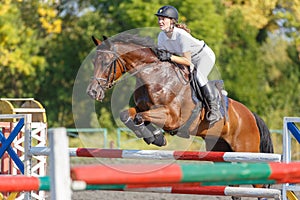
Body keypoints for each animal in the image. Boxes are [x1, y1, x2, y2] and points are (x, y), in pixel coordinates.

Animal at [85, 32, 274, 198]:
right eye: (94, 61)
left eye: (107, 62)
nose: (92, 92)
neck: (154, 75)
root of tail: (251, 115)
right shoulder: (142, 108)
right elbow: (127, 115)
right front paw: (154, 136)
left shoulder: (172, 118)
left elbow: (140, 117)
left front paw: (155, 136)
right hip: (219, 150)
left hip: (247, 151)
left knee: (260, 186)